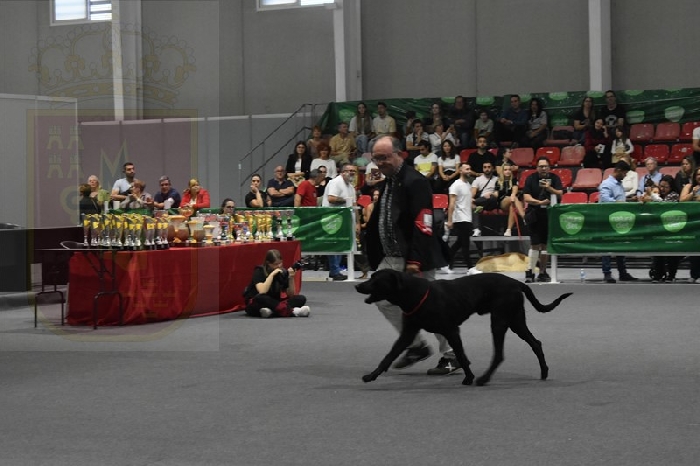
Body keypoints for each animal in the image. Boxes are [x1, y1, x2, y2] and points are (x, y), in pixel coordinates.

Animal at [355, 269, 572, 386]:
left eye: (376, 279)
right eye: (371, 277)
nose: (358, 286)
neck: (414, 295)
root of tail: (516, 282)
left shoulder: (452, 330)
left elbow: (460, 355)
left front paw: (469, 377)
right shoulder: (408, 333)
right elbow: (388, 356)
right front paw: (372, 376)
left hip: (500, 321)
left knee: (499, 354)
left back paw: (483, 379)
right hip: (516, 321)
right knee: (536, 343)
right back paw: (544, 372)